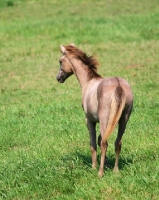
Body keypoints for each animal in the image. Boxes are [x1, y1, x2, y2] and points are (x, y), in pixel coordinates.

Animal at [56, 43, 133, 177]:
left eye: (60, 61)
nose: (58, 78)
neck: (88, 82)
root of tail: (118, 85)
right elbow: (99, 139)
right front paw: (105, 162)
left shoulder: (89, 121)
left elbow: (93, 143)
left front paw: (93, 166)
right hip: (123, 120)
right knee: (117, 142)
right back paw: (115, 170)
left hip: (104, 119)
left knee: (104, 143)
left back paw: (100, 173)